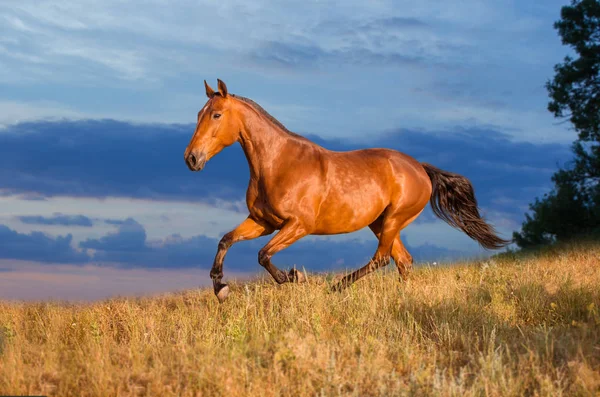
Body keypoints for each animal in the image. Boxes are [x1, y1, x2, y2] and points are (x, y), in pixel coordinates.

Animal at [184, 79, 510, 302]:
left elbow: (263, 255)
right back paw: (400, 298)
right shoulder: (263, 222)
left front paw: (294, 277)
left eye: (216, 115)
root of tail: (419, 167)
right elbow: (226, 241)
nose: (191, 158)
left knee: (382, 259)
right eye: (199, 113)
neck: (279, 163)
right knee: (402, 261)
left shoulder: (298, 225)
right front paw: (220, 288)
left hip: (393, 219)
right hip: (381, 223)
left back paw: (337, 286)